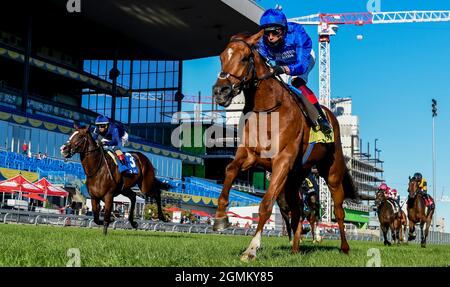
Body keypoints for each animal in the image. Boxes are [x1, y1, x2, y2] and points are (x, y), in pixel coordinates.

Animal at [211, 30, 362, 262]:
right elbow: (230, 170)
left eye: (244, 58)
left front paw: (252, 248)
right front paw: (220, 217)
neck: (267, 109)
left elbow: (266, 203)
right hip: (294, 178)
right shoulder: (249, 155)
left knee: (338, 211)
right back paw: (295, 249)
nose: (221, 91)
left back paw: (344, 247)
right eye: (221, 57)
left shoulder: (282, 161)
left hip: (332, 173)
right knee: (297, 211)